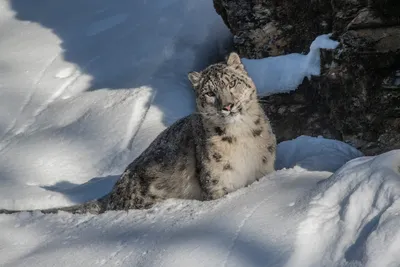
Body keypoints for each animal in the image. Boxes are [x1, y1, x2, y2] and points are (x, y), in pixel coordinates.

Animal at [0, 52, 276, 216]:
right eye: (209, 92)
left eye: (232, 83)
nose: (227, 106)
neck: (242, 138)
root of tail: (112, 195)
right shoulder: (218, 183)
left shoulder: (263, 170)